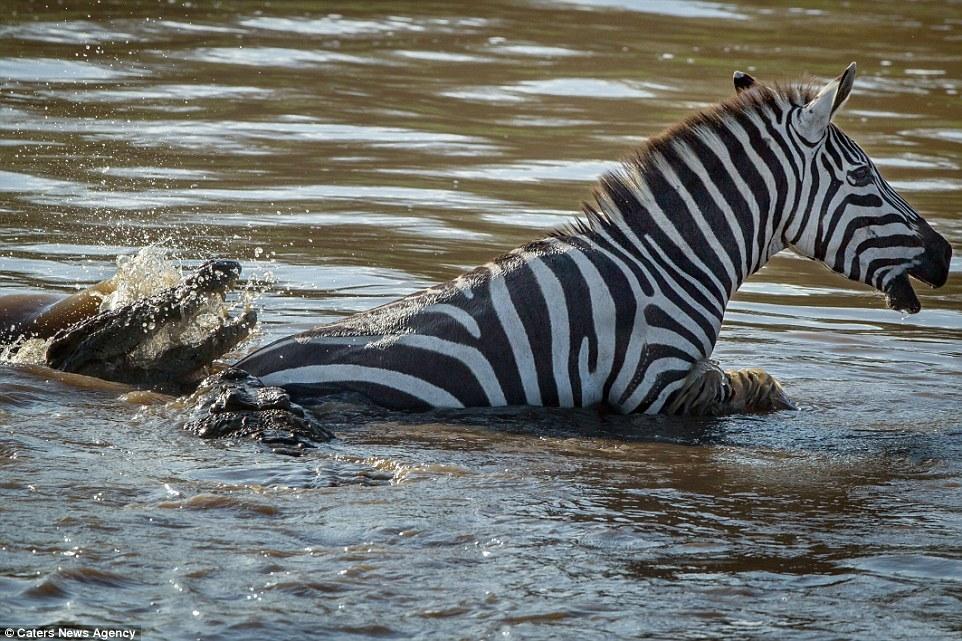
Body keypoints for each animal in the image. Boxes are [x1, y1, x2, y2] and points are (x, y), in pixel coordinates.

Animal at [229, 62, 948, 418]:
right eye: (863, 177)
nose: (945, 253)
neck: (671, 261)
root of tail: (233, 369)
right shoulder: (652, 383)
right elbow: (745, 384)